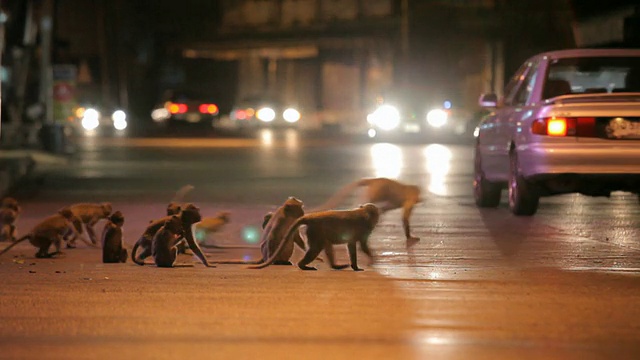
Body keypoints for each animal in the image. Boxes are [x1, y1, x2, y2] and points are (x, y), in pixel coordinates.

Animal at [250, 204, 380, 272]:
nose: (377, 221)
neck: (364, 213)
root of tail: (312, 217)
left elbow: (351, 245)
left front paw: (355, 266)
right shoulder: (364, 229)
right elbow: (362, 246)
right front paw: (372, 260)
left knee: (325, 245)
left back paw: (335, 266)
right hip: (315, 231)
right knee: (316, 248)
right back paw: (302, 265)